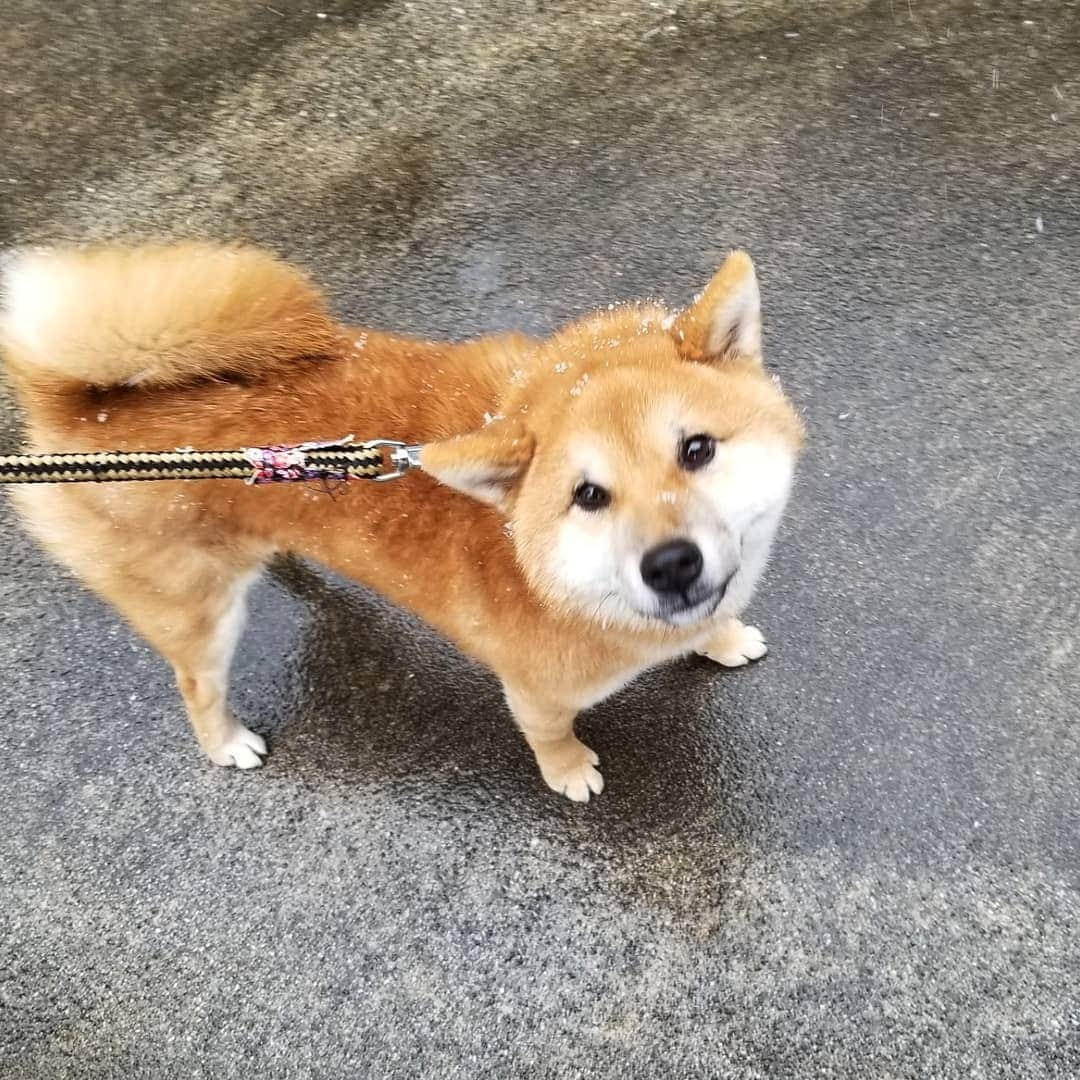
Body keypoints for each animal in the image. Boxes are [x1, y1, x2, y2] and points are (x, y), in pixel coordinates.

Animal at [2, 247, 803, 803]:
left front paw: (722, 637)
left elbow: (714, 622)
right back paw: (225, 741)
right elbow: (550, 734)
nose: (670, 564)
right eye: (588, 496)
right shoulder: (533, 690)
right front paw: (569, 771)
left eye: (697, 449)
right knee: (196, 684)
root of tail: (81, 407)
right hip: (195, 611)